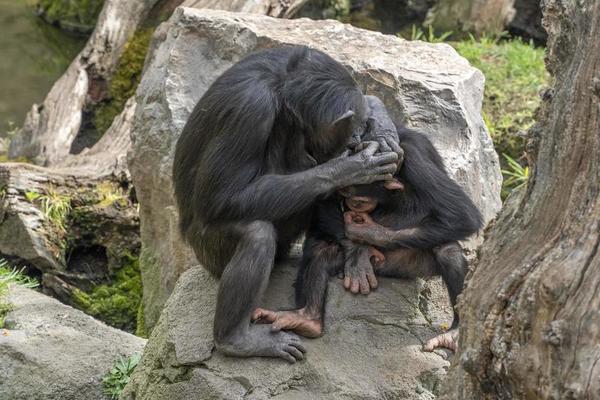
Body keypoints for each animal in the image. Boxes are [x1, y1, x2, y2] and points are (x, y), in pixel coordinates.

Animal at [171, 46, 400, 362]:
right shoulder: (251, 110)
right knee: (257, 235)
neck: (281, 88)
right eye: (353, 129)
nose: (357, 137)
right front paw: (351, 168)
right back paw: (237, 340)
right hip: (208, 252)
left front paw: (384, 130)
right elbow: (221, 196)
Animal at [253, 97, 482, 350]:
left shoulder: (417, 162)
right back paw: (306, 318)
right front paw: (358, 253)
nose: (350, 209)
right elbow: (321, 190)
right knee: (322, 248)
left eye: (359, 202)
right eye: (342, 195)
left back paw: (455, 331)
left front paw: (368, 233)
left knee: (448, 250)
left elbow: (461, 213)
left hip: (412, 265)